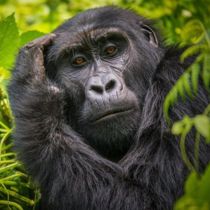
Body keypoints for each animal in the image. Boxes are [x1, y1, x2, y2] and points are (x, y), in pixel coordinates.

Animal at [8, 5, 210, 210]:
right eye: (79, 61)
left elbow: (146, 198)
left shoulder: (182, 76)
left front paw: (31, 86)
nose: (103, 86)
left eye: (111, 50)